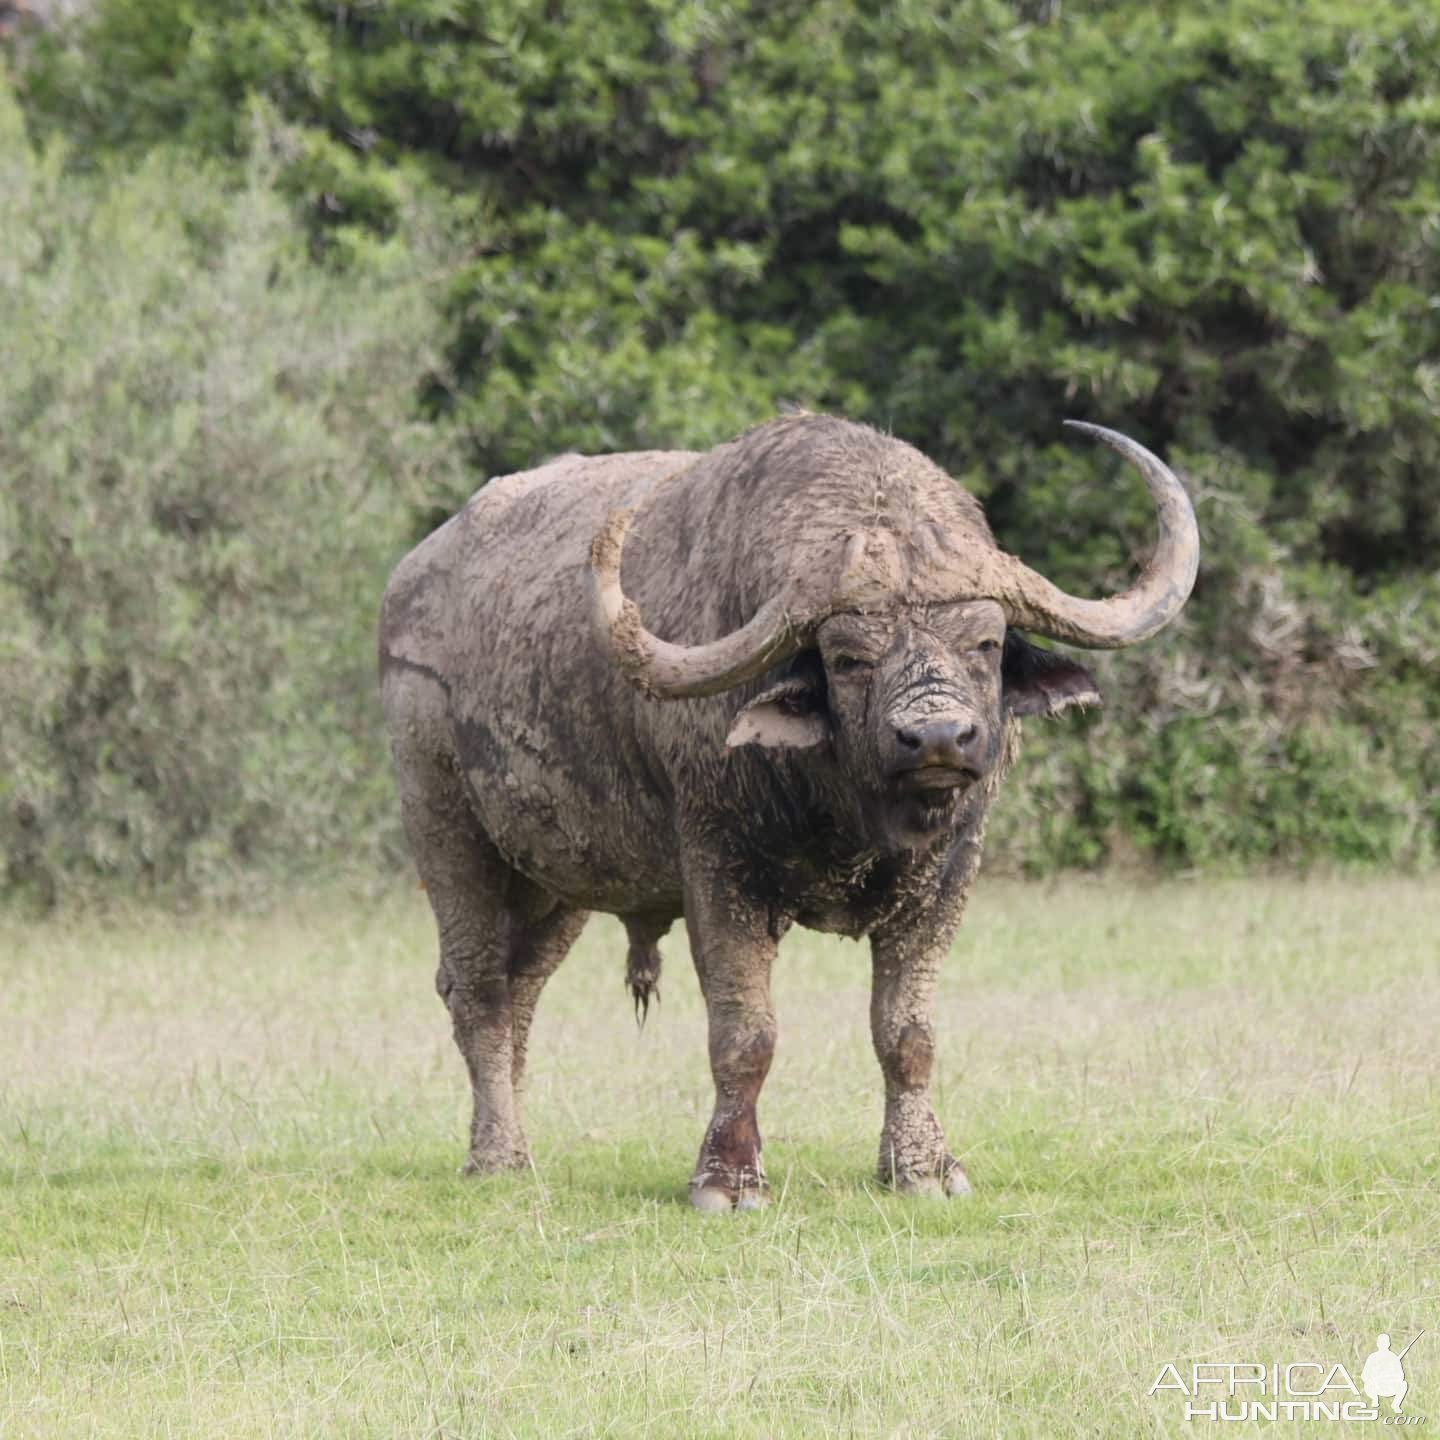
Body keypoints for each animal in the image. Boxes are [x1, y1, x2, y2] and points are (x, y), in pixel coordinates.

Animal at [377, 411, 1198, 1209]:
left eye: (987, 643)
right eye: (848, 658)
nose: (936, 736)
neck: (850, 811)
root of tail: (409, 586)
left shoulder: (948, 875)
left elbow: (908, 1032)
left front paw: (922, 1169)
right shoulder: (718, 869)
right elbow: (745, 1035)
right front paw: (729, 1179)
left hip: (558, 879)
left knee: (522, 989)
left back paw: (514, 1146)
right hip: (444, 824)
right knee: (477, 990)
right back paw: (496, 1157)